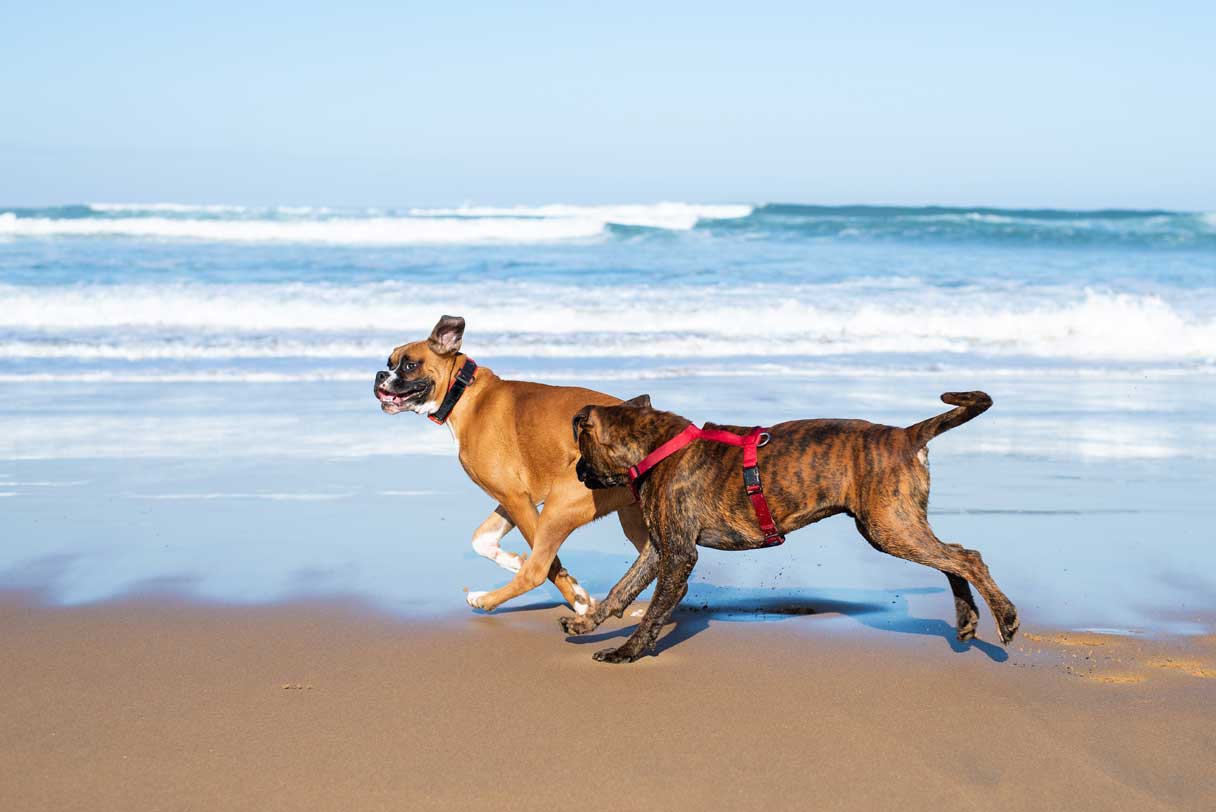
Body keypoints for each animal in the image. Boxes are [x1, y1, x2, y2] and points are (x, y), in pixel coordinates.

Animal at [374, 316, 646, 615]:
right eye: (389, 363)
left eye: (410, 365)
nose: (380, 375)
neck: (465, 393)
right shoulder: (512, 498)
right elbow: (481, 539)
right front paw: (514, 561)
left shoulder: (517, 499)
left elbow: (549, 564)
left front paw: (578, 599)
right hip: (632, 518)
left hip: (562, 503)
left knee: (537, 571)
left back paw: (486, 599)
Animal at [569, 388, 1016, 661]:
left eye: (582, 449)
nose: (576, 471)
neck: (657, 446)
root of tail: (906, 436)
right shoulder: (659, 548)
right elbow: (620, 590)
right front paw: (586, 621)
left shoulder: (679, 553)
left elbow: (654, 610)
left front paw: (627, 651)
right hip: (897, 525)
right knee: (954, 559)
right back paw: (967, 618)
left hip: (890, 527)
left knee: (968, 558)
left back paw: (1006, 618)